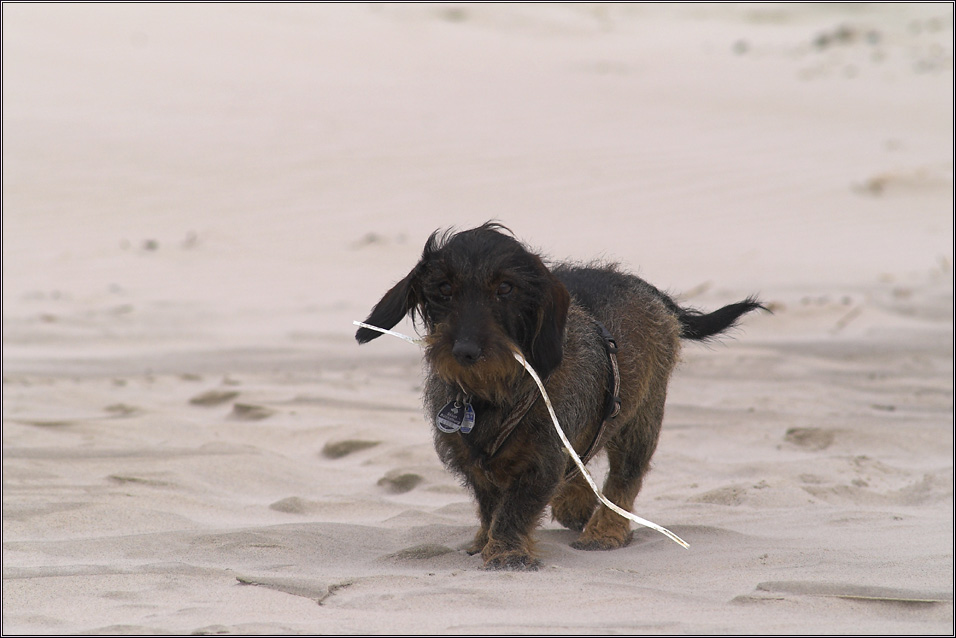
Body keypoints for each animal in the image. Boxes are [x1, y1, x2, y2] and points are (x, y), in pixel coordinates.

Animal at [354, 222, 764, 572]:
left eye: (506, 288)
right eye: (443, 288)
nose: (466, 351)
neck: (492, 393)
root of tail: (643, 287)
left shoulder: (541, 461)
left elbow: (514, 509)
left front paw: (506, 552)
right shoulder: (472, 461)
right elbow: (490, 505)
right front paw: (486, 540)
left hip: (641, 420)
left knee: (625, 478)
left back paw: (605, 530)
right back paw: (577, 503)